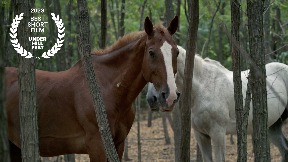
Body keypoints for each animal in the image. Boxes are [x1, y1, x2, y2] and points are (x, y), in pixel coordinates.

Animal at [4, 16, 180, 161]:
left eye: (176, 52)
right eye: (151, 52)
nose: (170, 96)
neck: (109, 89)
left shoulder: (119, 144)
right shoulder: (96, 145)